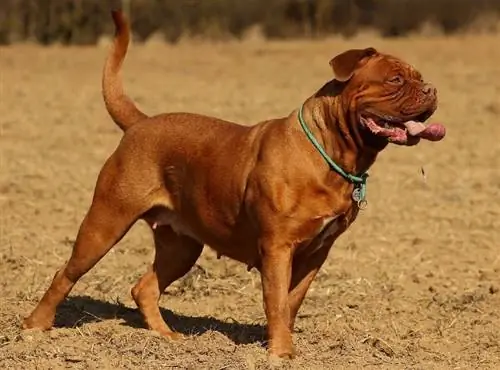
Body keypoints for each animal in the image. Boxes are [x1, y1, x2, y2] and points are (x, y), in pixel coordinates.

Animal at [22, 10, 446, 358]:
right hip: (106, 222)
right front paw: (280, 354)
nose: (432, 89)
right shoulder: (277, 248)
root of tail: (140, 123)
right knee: (67, 273)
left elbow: (291, 302)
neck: (334, 153)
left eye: (420, 78)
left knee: (146, 286)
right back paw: (35, 328)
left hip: (181, 245)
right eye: (395, 79)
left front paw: (279, 343)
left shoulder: (316, 253)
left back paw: (167, 338)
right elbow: (276, 300)